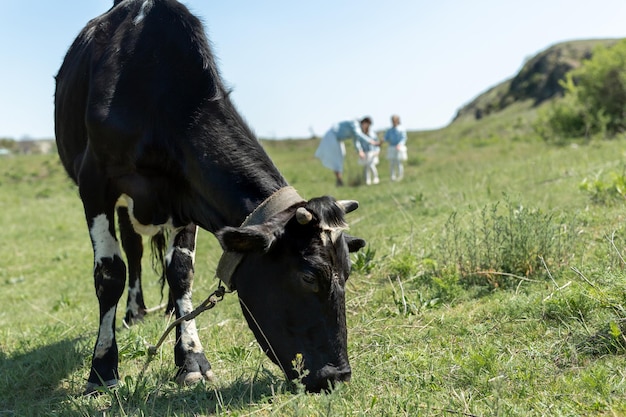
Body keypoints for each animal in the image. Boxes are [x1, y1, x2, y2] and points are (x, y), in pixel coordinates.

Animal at [55, 0, 366, 394]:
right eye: (308, 277)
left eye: (348, 272)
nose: (337, 376)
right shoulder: (94, 182)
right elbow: (110, 273)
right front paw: (102, 368)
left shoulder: (186, 193)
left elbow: (180, 271)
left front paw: (191, 357)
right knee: (133, 252)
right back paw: (134, 312)